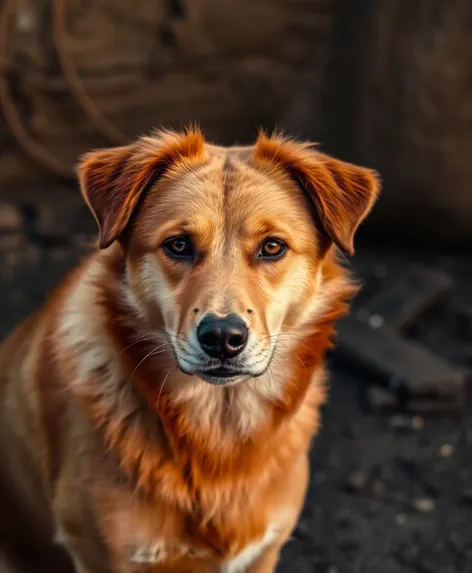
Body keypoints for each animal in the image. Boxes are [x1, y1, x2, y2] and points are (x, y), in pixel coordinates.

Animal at [0, 128, 378, 572]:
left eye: (272, 247)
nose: (223, 337)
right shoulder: (102, 553)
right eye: (178, 244)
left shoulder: (263, 551)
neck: (218, 431)